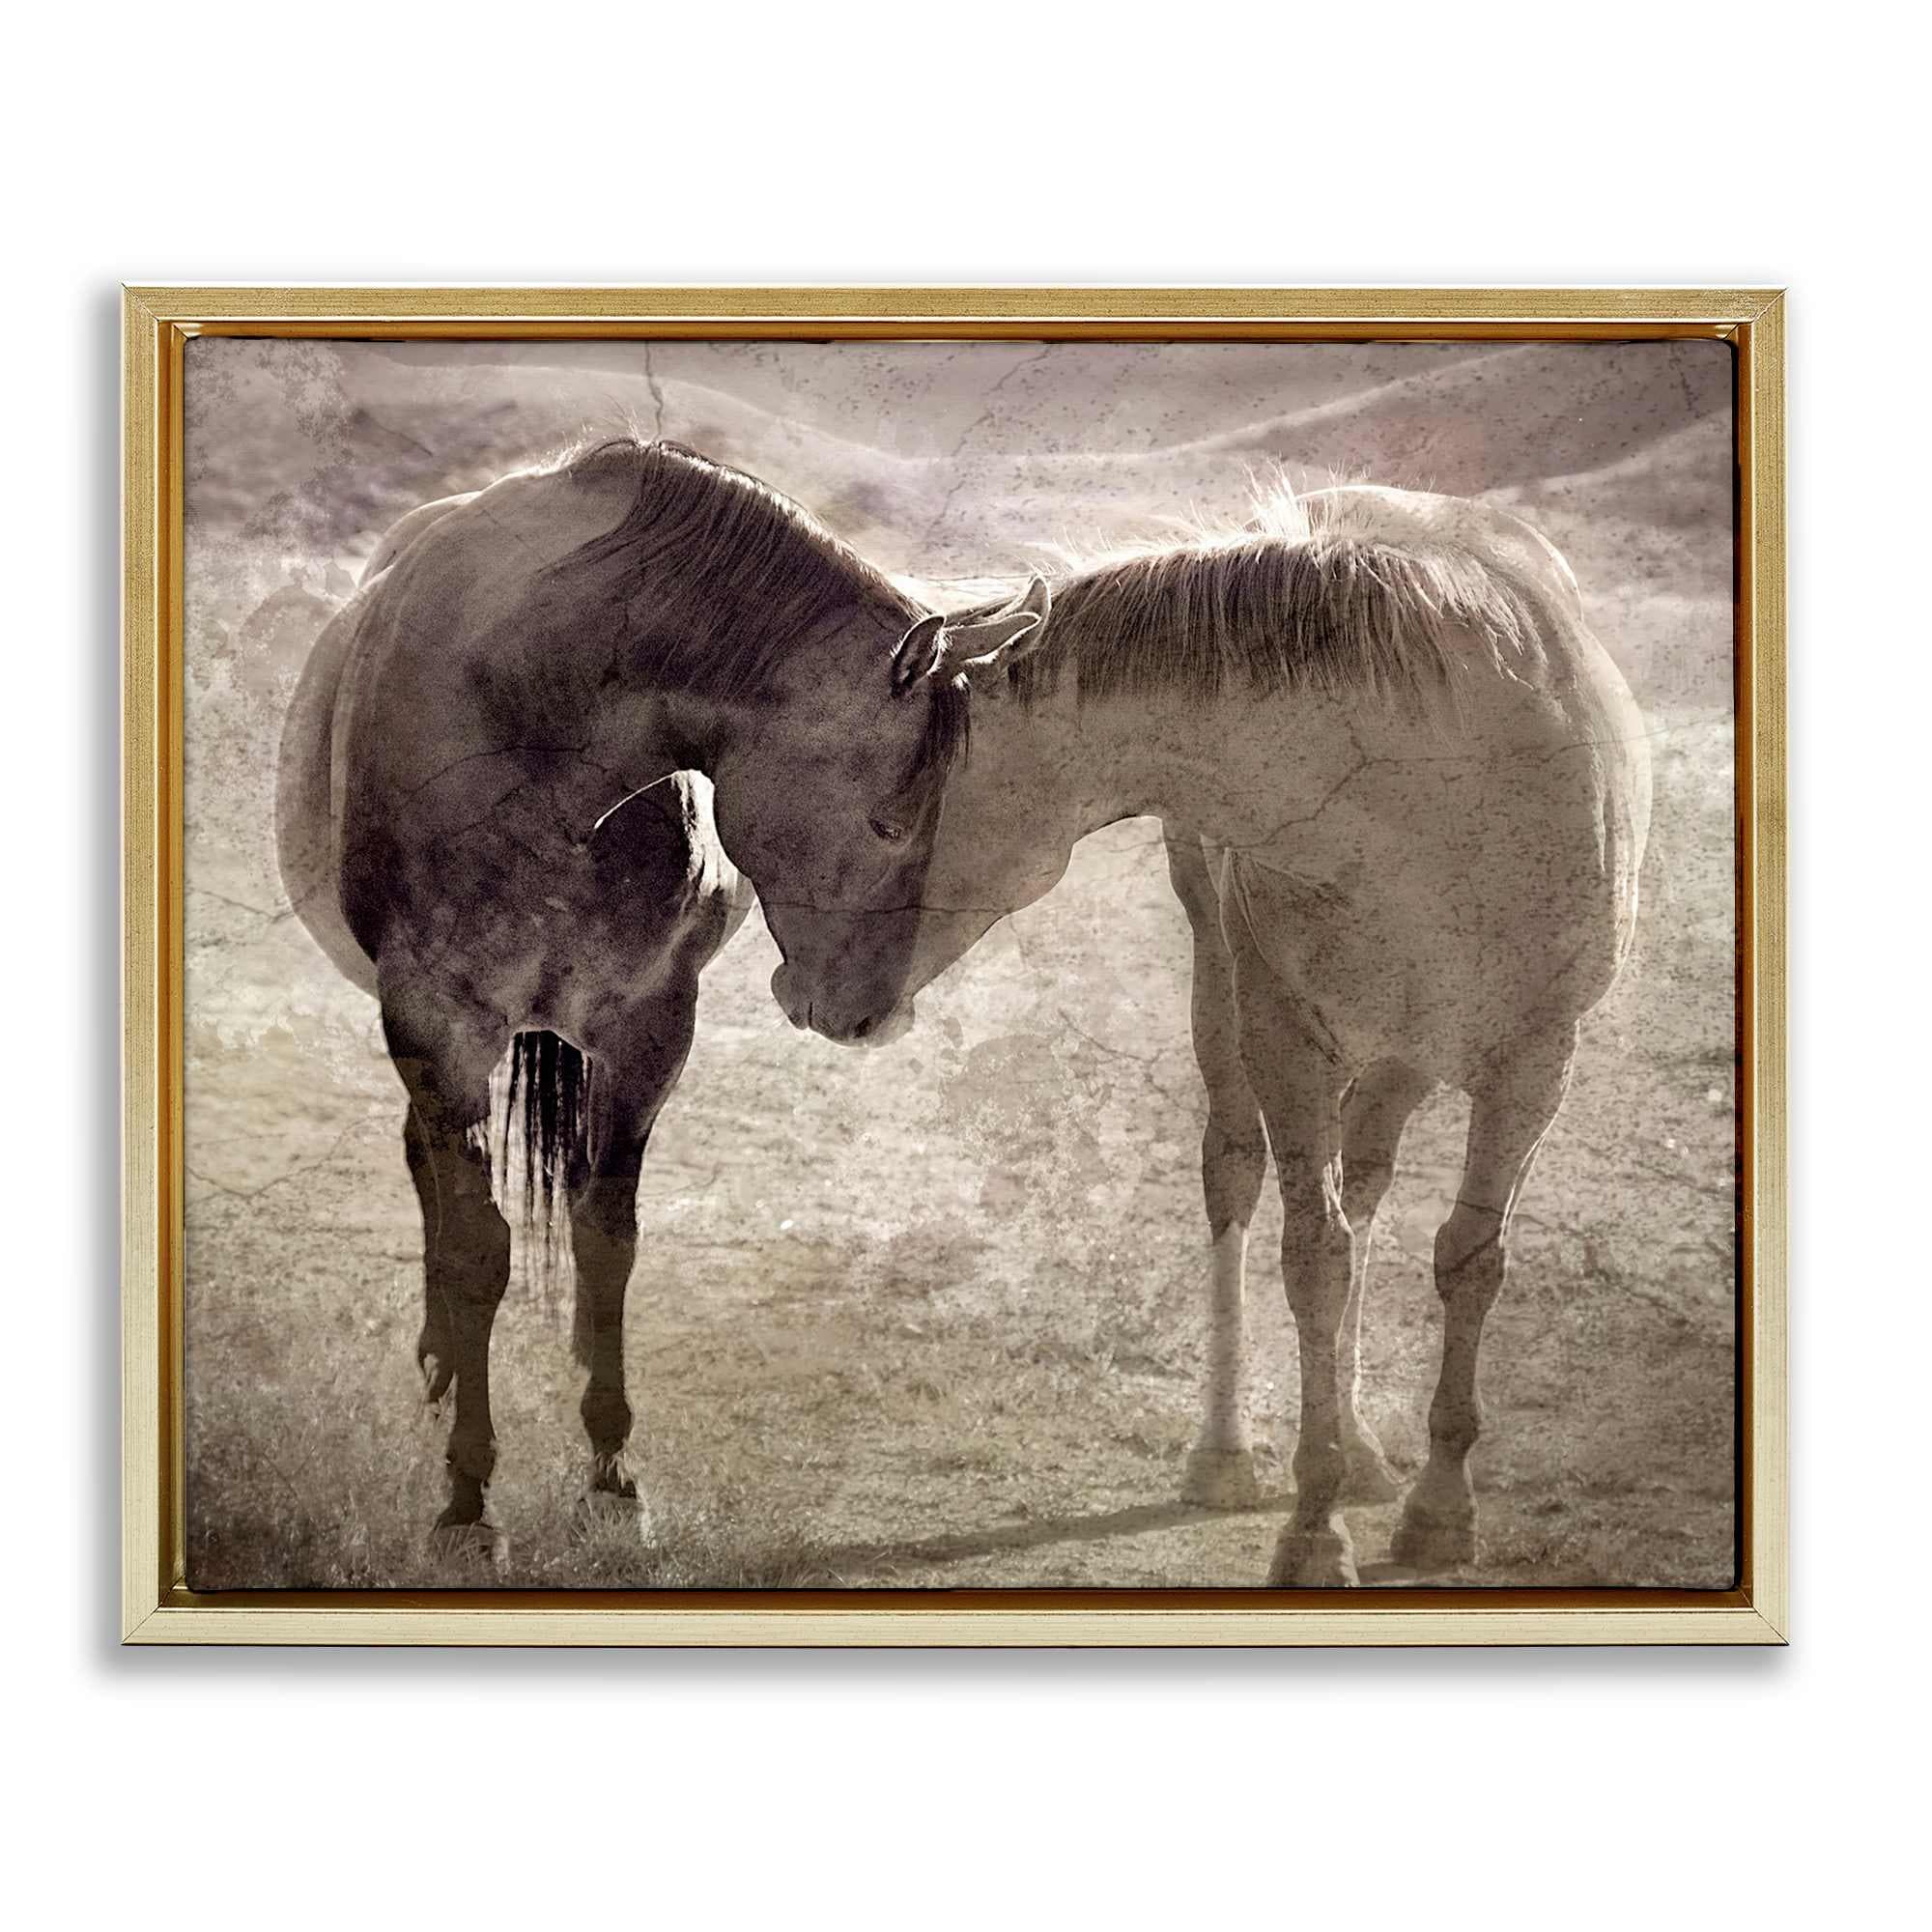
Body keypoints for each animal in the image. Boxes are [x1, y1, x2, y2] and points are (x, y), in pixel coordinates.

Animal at [275, 438, 1049, 1556]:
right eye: (892, 821)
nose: (871, 1014)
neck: (531, 726)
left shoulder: (646, 1031)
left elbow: (607, 1238)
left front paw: (610, 1474)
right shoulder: (435, 1020)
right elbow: (476, 1248)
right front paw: (468, 1496)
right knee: (429, 1167)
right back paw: (440, 1364)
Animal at [897, 483, 1652, 1586]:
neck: (1417, 793)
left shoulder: (1532, 1056)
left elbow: (1466, 1259)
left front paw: (1437, 1507)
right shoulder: (1287, 1039)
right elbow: (1313, 1260)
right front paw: (1312, 1525)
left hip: (1401, 1054)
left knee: (1369, 1184)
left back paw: (1368, 1448)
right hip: (1226, 992)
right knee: (1235, 1171)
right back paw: (1225, 1453)